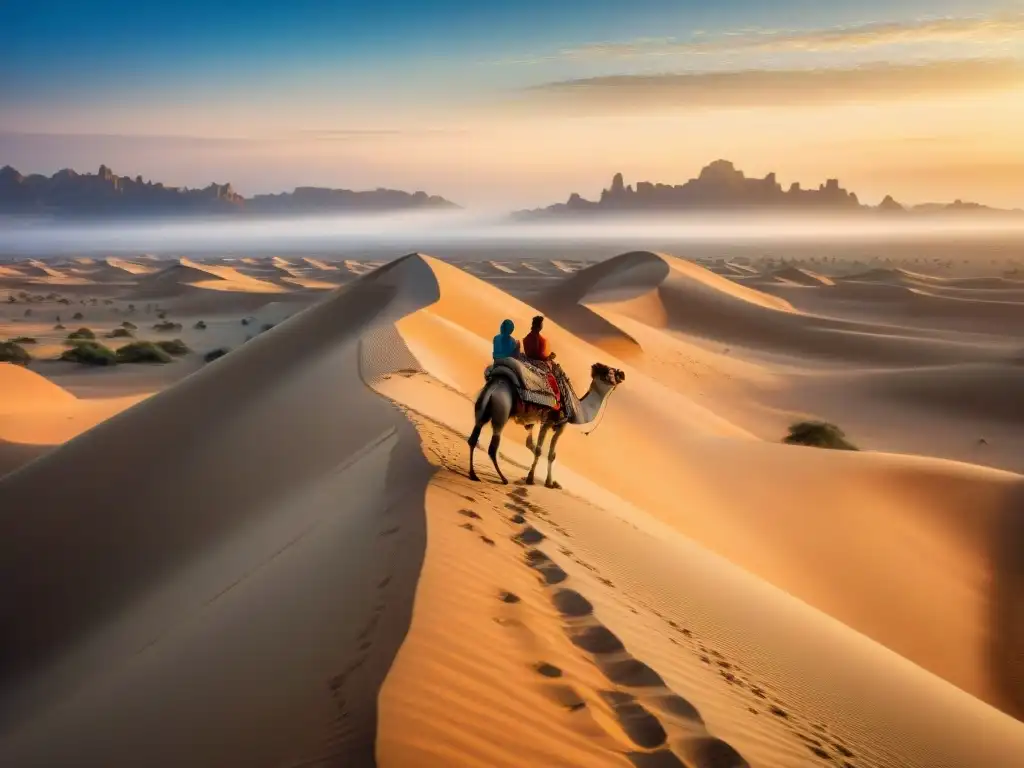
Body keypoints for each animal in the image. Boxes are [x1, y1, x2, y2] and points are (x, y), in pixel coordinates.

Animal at [466, 364, 622, 489]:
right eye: (610, 372)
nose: (621, 375)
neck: (577, 409)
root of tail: (495, 386)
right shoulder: (554, 424)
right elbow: (545, 452)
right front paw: (536, 480)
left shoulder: (537, 422)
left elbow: (533, 445)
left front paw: (549, 481)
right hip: (502, 411)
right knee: (493, 447)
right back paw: (503, 478)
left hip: (483, 408)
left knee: (473, 437)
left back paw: (473, 474)